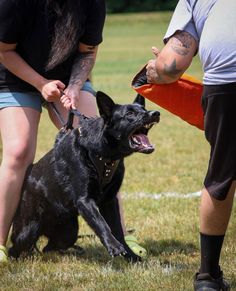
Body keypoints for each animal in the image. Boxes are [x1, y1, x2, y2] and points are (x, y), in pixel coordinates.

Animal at [9, 93, 160, 262]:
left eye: (144, 110)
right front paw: (114, 247)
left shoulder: (110, 201)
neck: (103, 155)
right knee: (15, 248)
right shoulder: (85, 200)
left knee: (49, 247)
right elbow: (102, 224)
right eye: (130, 114)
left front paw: (131, 256)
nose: (155, 113)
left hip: (68, 232)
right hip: (27, 231)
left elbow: (117, 230)